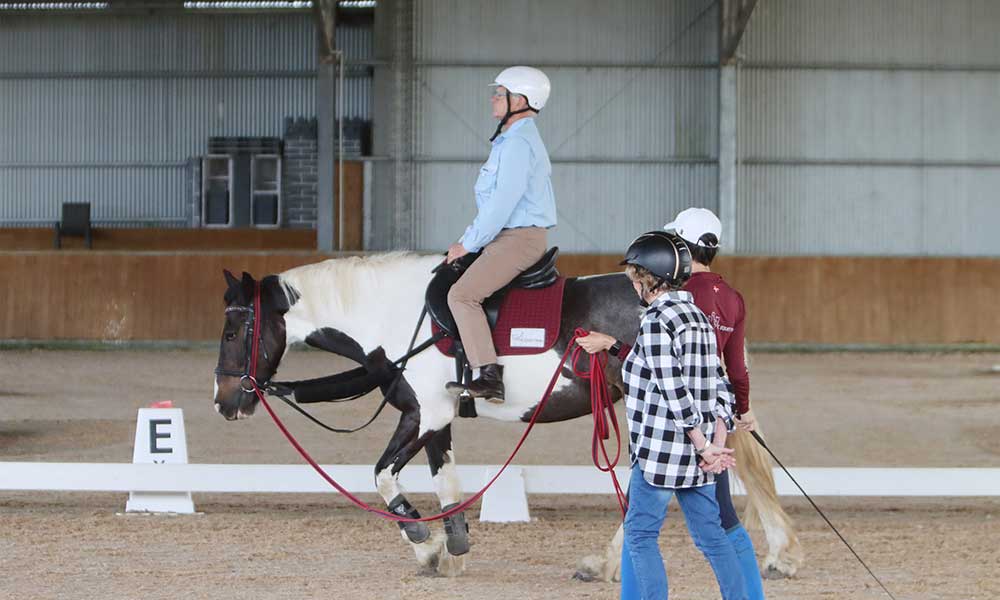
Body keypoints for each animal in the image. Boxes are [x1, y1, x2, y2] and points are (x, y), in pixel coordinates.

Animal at [211, 252, 804, 576]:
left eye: (235, 330)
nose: (224, 400)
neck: (401, 317)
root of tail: (694, 297)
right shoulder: (436, 418)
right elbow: (445, 481)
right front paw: (449, 550)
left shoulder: (423, 415)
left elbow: (381, 476)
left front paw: (424, 543)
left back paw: (606, 565)